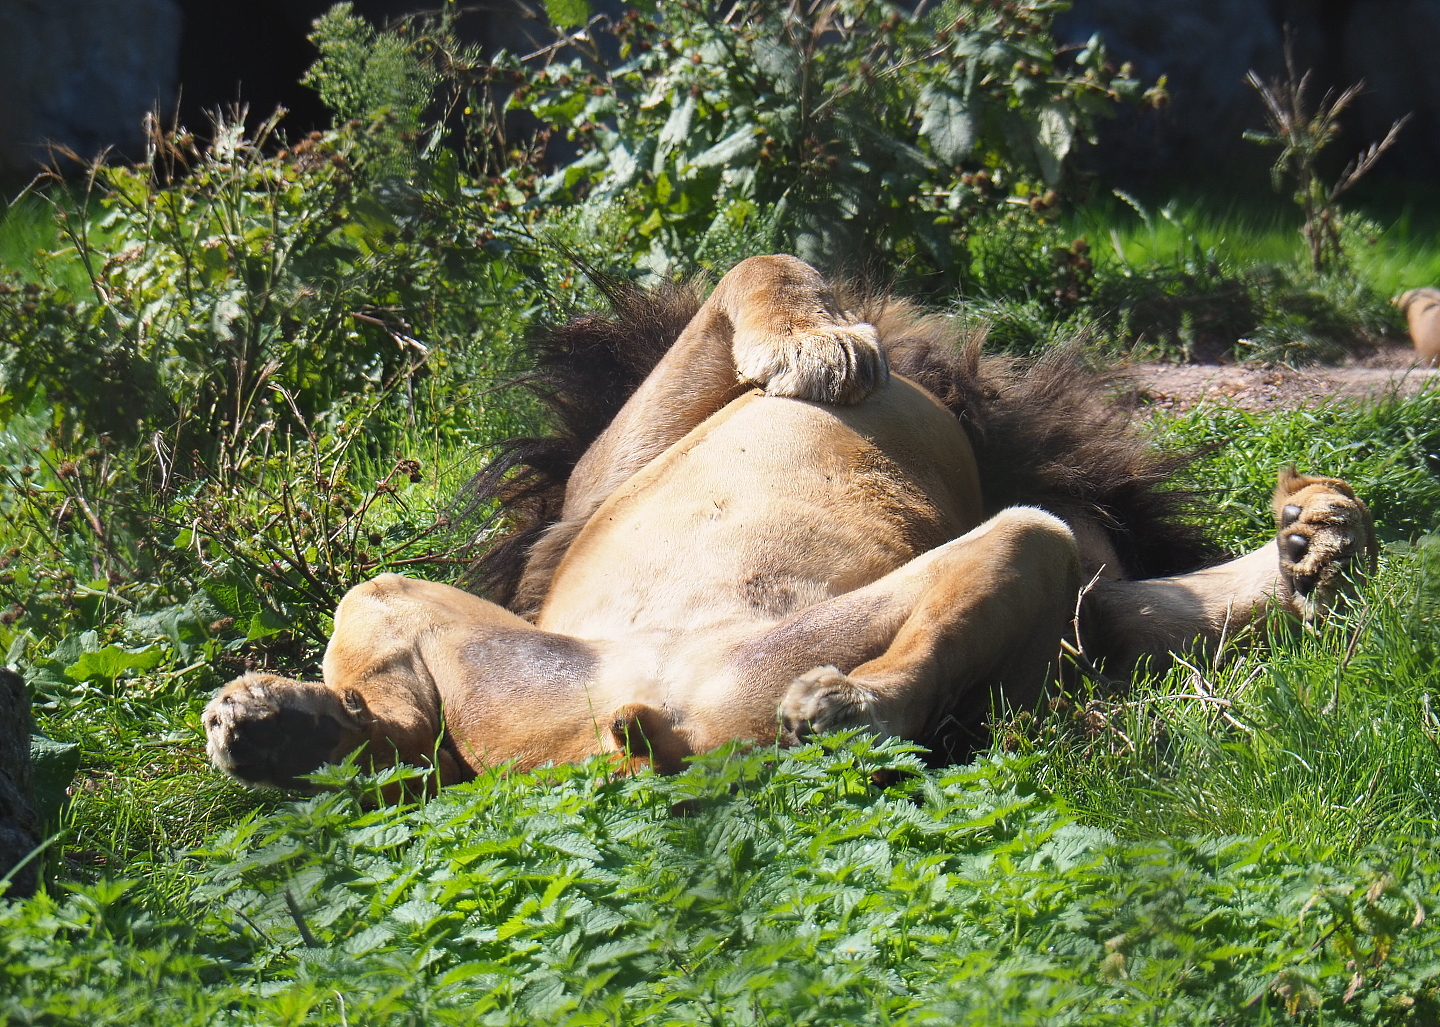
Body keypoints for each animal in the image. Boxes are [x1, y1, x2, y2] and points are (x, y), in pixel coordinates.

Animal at [204, 255, 1376, 788]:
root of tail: (640, 723)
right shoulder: (596, 485)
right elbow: (759, 266)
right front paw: (824, 348)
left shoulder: (590, 494)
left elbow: (752, 269)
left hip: (546, 663)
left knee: (404, 742)